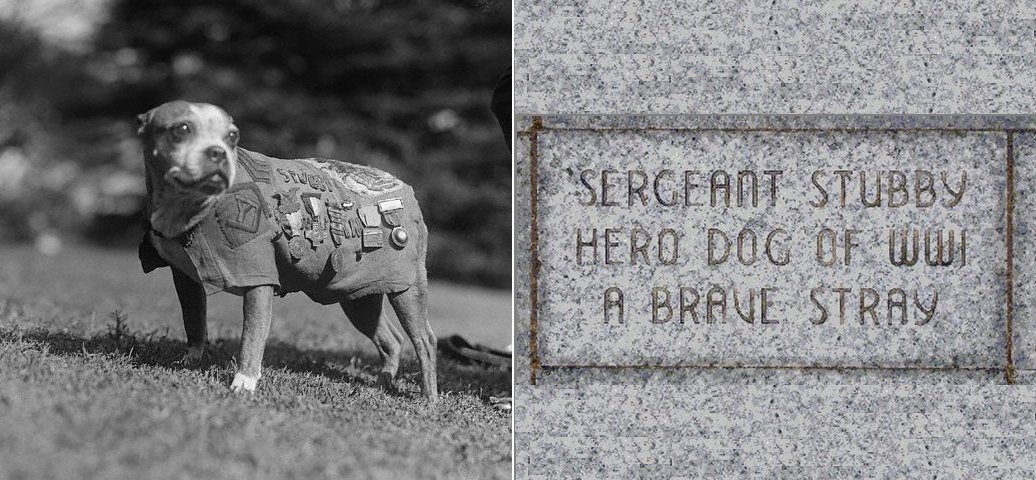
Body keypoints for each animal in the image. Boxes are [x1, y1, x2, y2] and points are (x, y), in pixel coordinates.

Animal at [134, 100, 437, 398]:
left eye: (232, 136)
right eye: (181, 129)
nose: (218, 152)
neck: (189, 208)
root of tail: (405, 189)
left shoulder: (258, 279)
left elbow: (252, 335)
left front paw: (244, 383)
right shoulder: (185, 279)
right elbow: (194, 321)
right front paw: (190, 361)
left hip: (407, 290)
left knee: (425, 341)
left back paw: (428, 399)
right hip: (358, 296)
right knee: (391, 339)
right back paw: (382, 383)